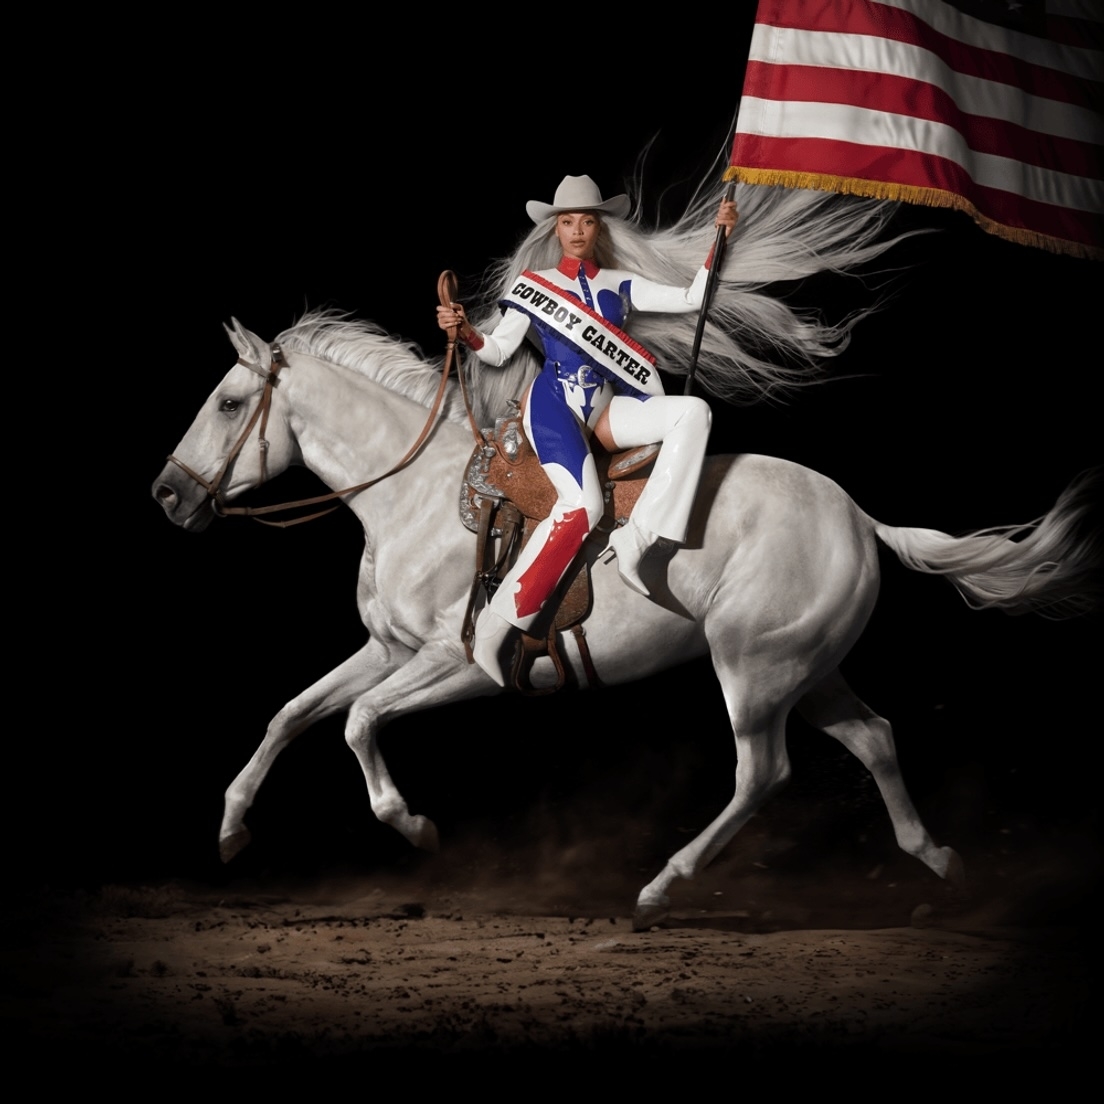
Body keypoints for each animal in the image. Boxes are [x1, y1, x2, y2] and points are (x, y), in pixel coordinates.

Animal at [153, 313, 1095, 931]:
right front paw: (231, 829)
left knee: (764, 772)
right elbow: (294, 714)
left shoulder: (458, 664)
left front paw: (412, 824)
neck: (417, 498)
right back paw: (936, 858)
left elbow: (355, 723)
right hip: (807, 669)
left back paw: (661, 888)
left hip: (753, 671)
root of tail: (860, 518)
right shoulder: (386, 648)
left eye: (230, 403)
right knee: (873, 738)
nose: (166, 494)